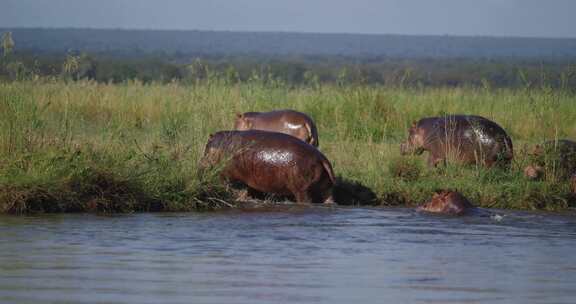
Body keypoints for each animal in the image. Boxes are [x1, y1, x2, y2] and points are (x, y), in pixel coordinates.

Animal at [200, 129, 336, 203]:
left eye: (206, 147)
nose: (200, 164)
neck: (220, 146)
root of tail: (322, 159)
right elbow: (246, 191)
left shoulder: (226, 175)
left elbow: (229, 187)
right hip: (326, 187)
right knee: (329, 198)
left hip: (302, 189)